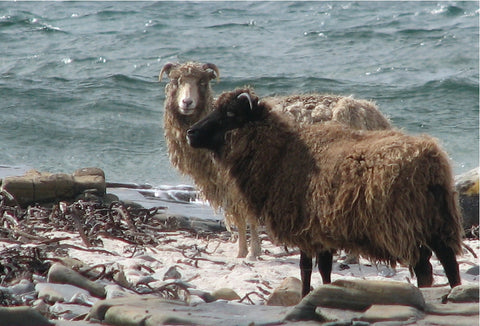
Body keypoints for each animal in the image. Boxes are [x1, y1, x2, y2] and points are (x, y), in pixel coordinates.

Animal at [188, 88, 464, 296]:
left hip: (406, 226)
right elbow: (324, 269)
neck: (281, 154)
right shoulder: (321, 230)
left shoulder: (305, 229)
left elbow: (306, 269)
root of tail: (430, 158)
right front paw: (326, 291)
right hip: (438, 222)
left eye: (230, 113)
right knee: (449, 263)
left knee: (424, 268)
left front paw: (305, 295)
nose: (191, 133)